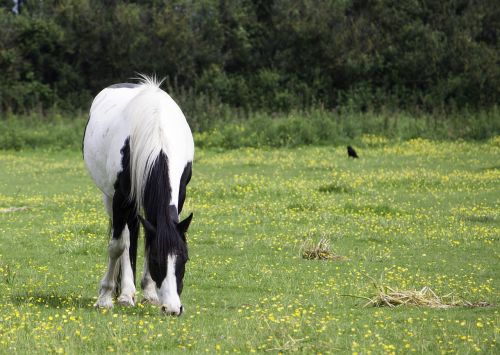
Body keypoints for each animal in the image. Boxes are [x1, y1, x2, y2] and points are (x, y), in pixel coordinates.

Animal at [82, 76, 193, 318]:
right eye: (156, 261)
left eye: (184, 258)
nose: (173, 309)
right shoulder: (121, 198)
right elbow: (117, 246)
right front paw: (106, 297)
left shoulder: (180, 194)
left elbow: (147, 240)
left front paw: (149, 292)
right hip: (111, 198)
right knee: (125, 238)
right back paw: (124, 293)